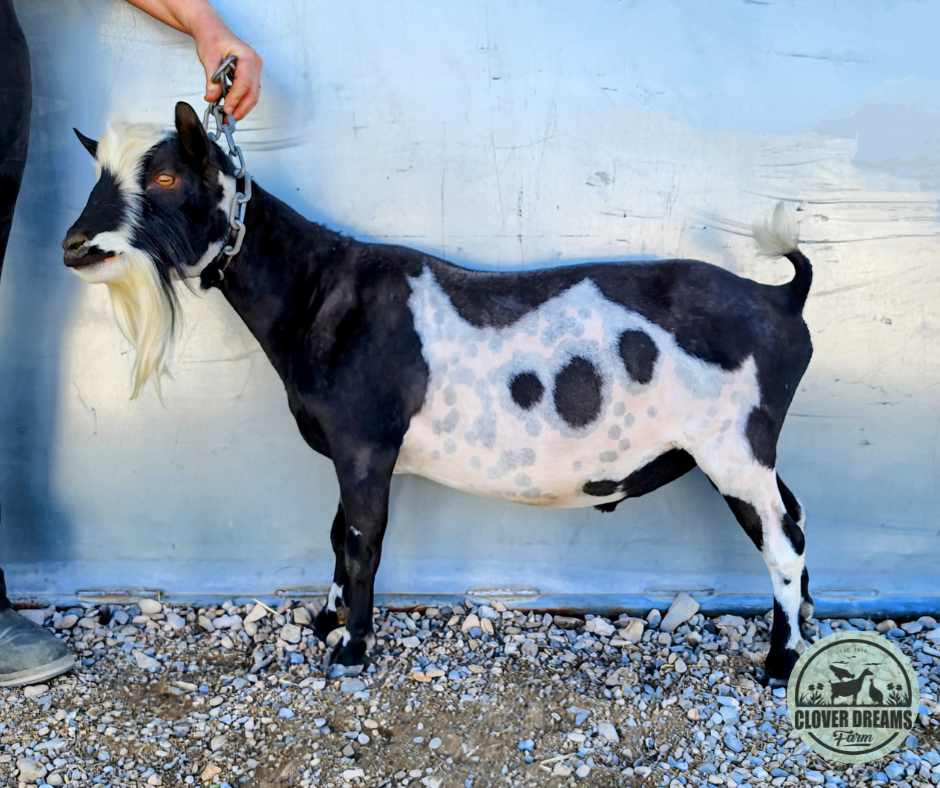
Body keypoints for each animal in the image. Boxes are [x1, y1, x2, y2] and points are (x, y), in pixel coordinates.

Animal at [62, 103, 815, 685]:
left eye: (165, 174)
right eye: (99, 172)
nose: (77, 245)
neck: (320, 290)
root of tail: (781, 301)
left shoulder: (366, 443)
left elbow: (362, 541)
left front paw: (351, 649)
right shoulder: (355, 452)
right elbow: (337, 531)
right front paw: (326, 619)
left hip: (732, 447)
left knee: (782, 540)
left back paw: (781, 664)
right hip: (749, 450)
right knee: (797, 519)